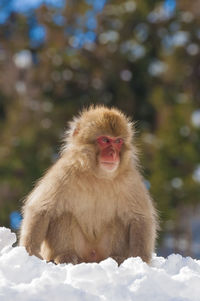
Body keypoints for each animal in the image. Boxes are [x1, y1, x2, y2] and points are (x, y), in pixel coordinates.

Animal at [19, 105, 159, 262]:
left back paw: (116, 257)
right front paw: (30, 252)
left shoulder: (130, 180)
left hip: (102, 251)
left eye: (118, 142)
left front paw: (140, 260)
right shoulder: (64, 172)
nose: (113, 154)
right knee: (63, 213)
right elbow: (41, 208)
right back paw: (65, 255)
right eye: (104, 140)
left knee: (119, 219)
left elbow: (140, 218)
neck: (98, 175)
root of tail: (92, 257)